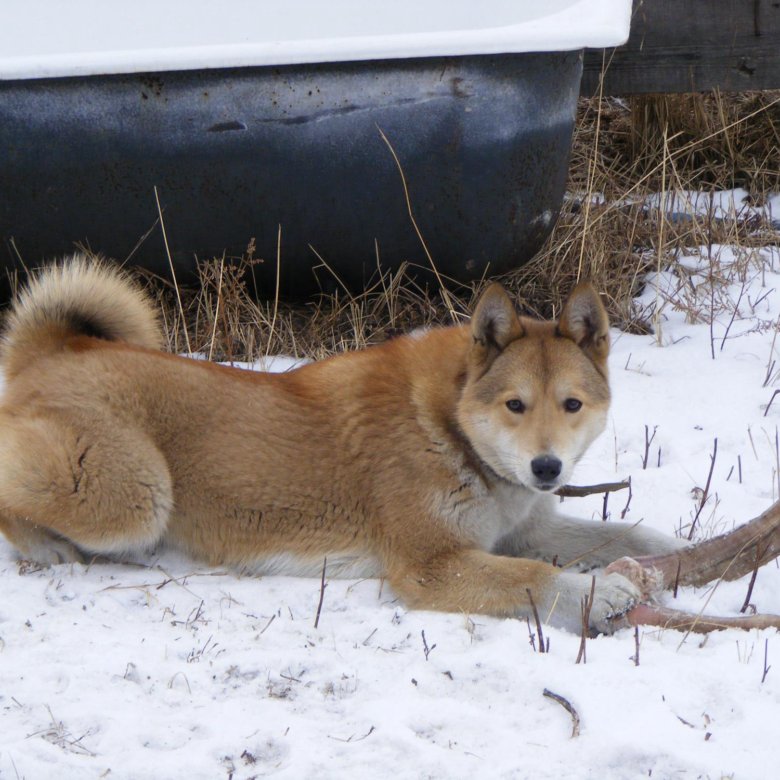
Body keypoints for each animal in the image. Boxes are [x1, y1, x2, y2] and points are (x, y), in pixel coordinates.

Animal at [0, 256, 684, 632]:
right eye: (515, 405)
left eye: (571, 405)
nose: (546, 467)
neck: (450, 429)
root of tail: (52, 350)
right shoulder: (431, 565)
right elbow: (538, 578)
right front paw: (600, 595)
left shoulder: (526, 529)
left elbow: (628, 535)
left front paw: (678, 558)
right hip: (135, 496)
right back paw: (44, 545)